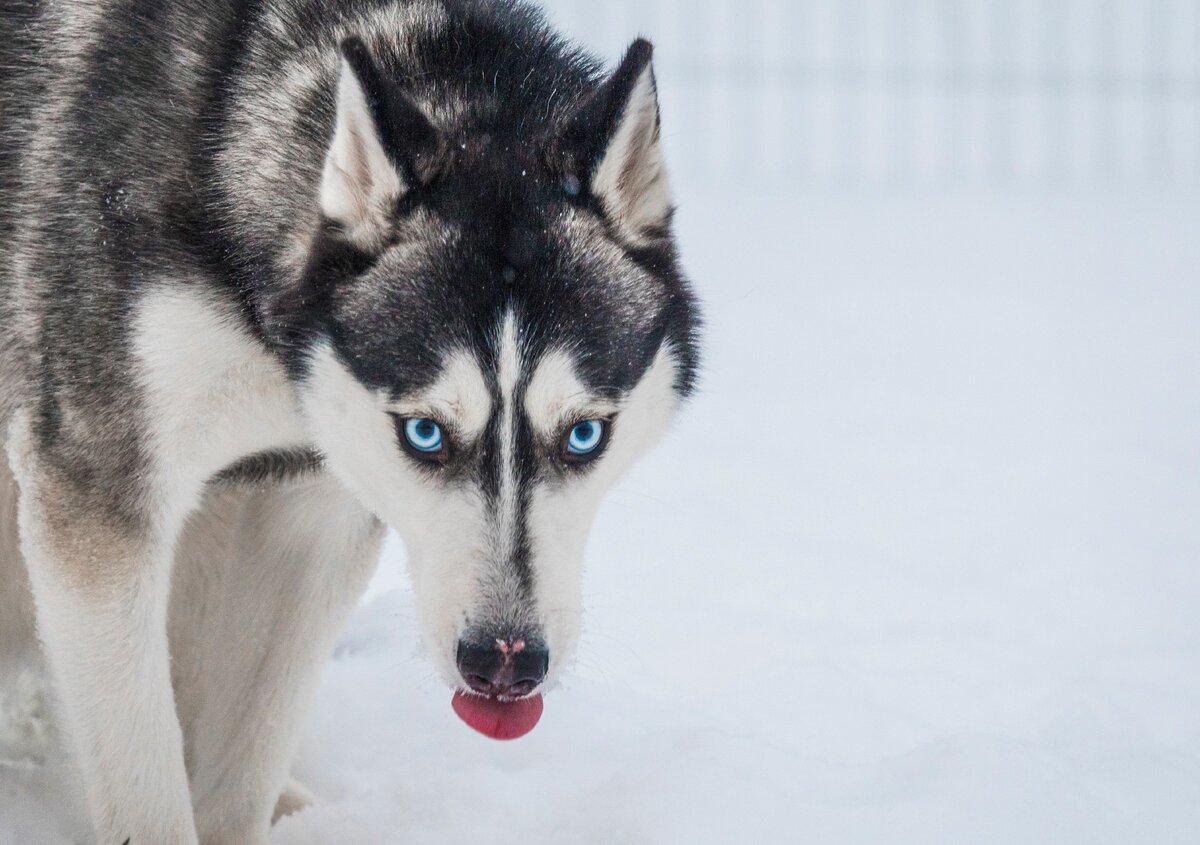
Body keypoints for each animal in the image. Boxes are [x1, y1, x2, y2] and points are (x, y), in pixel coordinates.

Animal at [0, 0, 700, 840]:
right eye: (425, 432)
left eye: (584, 434)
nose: (504, 662)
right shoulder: (101, 500)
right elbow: (146, 783)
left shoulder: (317, 503)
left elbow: (246, 754)